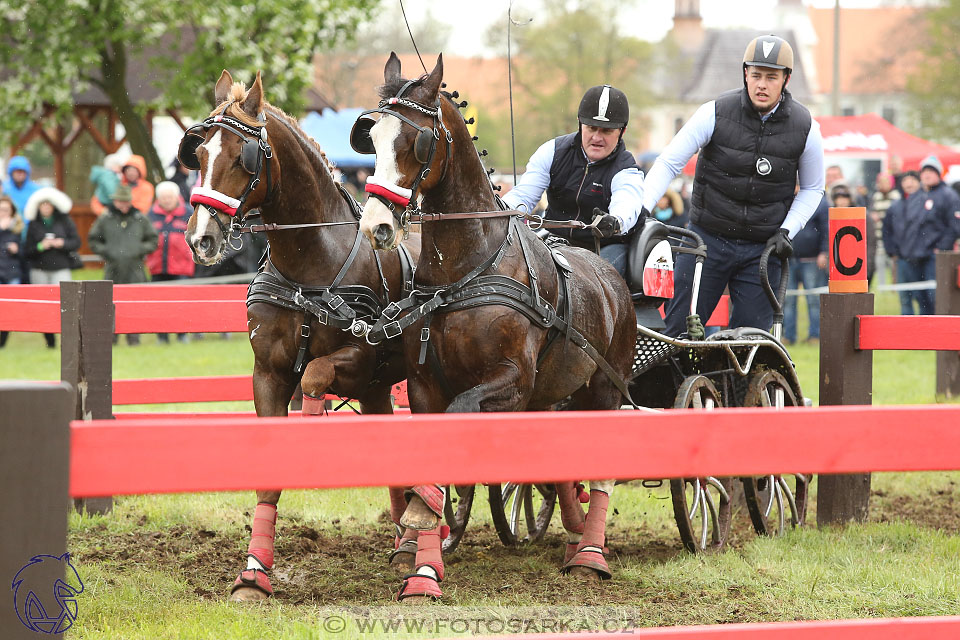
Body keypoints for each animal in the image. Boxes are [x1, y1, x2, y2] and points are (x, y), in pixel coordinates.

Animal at [180, 72, 420, 604]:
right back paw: (406, 542)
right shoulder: (267, 374)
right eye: (199, 152)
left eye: (242, 157)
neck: (312, 266)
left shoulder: (360, 359)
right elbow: (269, 478)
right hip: (380, 390)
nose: (201, 239)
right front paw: (254, 574)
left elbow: (313, 375)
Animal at [354, 53, 636, 600]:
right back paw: (571, 535)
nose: (376, 226)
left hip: (605, 389)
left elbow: (462, 419)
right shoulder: (424, 384)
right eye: (370, 137)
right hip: (554, 394)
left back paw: (590, 553)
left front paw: (431, 516)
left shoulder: (510, 382)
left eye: (417, 142)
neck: (466, 271)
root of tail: (609, 275)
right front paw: (425, 561)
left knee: (601, 472)